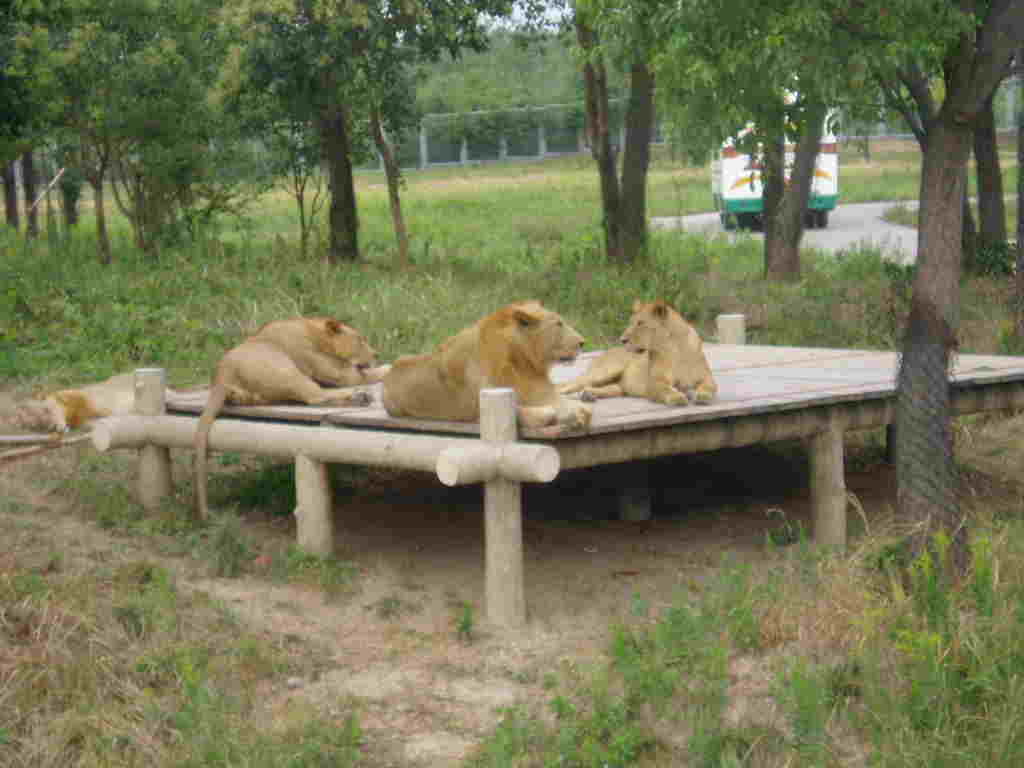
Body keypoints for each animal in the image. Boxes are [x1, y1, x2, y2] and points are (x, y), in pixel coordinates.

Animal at [195, 316, 383, 519]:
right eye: (360, 340)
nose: (377, 354)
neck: (316, 333)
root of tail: (221, 376)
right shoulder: (342, 373)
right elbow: (374, 373)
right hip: (286, 370)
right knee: (316, 396)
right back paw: (360, 397)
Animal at [381, 300, 592, 430]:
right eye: (559, 324)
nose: (583, 342)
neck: (522, 361)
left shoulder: (540, 390)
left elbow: (571, 405)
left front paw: (579, 411)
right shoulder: (481, 411)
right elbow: (543, 413)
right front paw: (568, 416)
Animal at [560, 300, 717, 406]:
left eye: (640, 323)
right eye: (631, 322)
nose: (622, 340)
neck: (675, 347)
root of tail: (606, 351)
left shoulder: (707, 377)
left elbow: (709, 387)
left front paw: (702, 396)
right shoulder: (654, 383)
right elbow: (666, 389)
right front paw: (677, 397)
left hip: (618, 387)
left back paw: (588, 395)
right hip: (603, 372)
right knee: (568, 386)